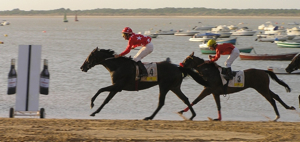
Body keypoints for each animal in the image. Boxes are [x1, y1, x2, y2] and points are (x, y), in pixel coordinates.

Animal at [79, 47, 209, 120]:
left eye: (90, 56)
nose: (82, 67)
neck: (118, 66)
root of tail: (178, 67)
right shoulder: (116, 88)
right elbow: (106, 100)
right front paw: (94, 112)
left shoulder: (118, 86)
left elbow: (100, 89)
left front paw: (92, 104)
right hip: (174, 87)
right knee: (185, 99)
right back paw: (192, 115)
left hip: (164, 86)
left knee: (161, 102)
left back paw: (149, 117)